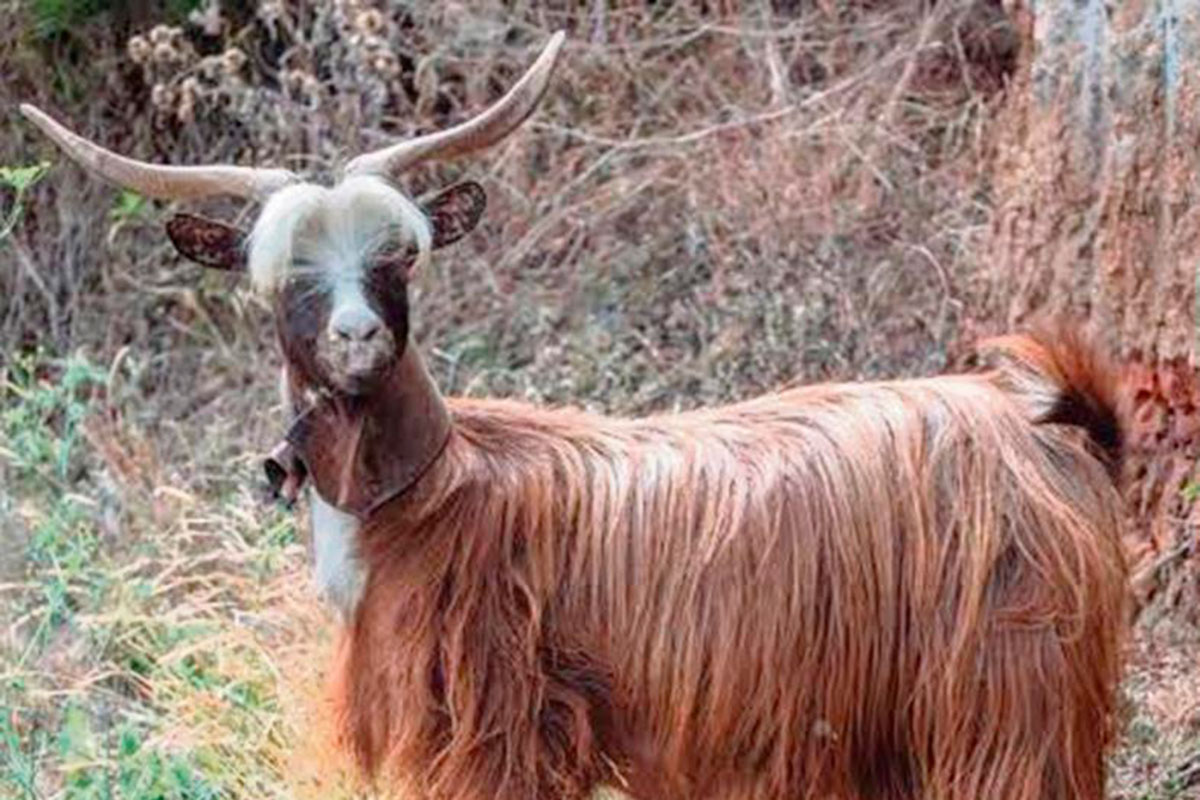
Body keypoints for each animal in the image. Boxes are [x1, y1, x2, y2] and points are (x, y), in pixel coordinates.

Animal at [24, 31, 1130, 800]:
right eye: (285, 278)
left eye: (397, 259)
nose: (357, 338)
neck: (427, 495)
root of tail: (1048, 433)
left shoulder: (494, 727)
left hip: (1006, 698)